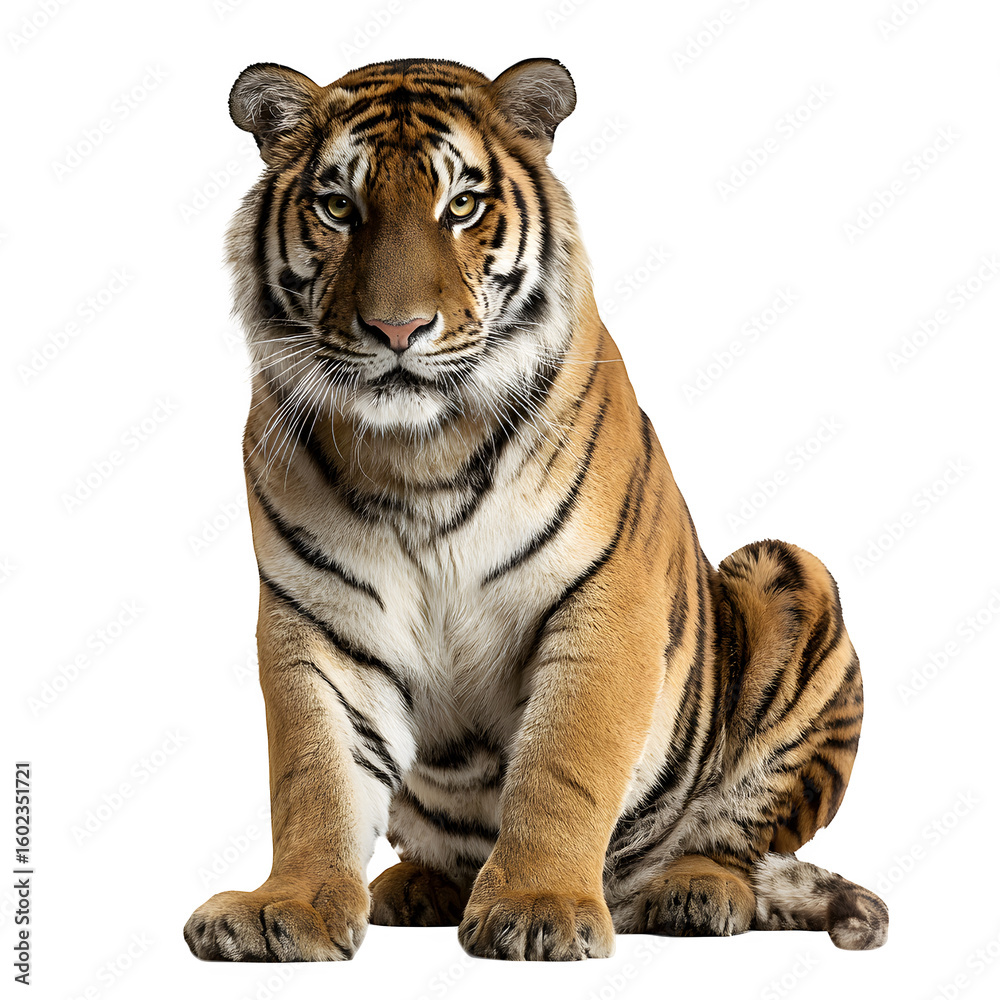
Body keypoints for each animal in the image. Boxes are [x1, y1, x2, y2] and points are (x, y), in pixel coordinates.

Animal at [183, 56, 889, 963]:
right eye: (340, 207)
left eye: (461, 206)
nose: (398, 329)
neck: (420, 454)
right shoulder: (315, 618)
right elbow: (314, 775)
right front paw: (288, 907)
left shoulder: (605, 596)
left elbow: (562, 765)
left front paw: (539, 905)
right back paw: (414, 886)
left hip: (791, 569)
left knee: (732, 838)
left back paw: (693, 892)